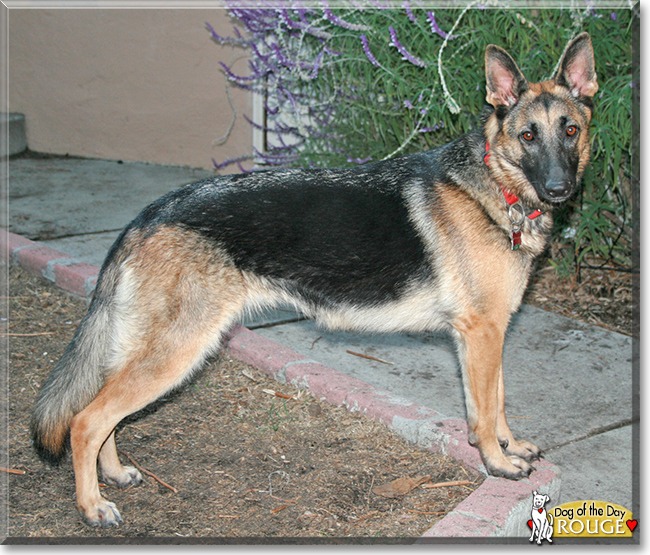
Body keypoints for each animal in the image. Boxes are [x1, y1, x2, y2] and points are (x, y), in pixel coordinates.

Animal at [33, 32, 596, 528]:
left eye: (570, 130)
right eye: (528, 136)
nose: (559, 188)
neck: (498, 185)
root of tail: (149, 214)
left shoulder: (491, 333)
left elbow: (497, 401)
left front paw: (510, 446)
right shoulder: (480, 335)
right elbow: (482, 413)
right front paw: (497, 465)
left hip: (149, 350)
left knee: (101, 412)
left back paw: (113, 474)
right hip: (177, 351)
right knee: (85, 420)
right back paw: (91, 506)